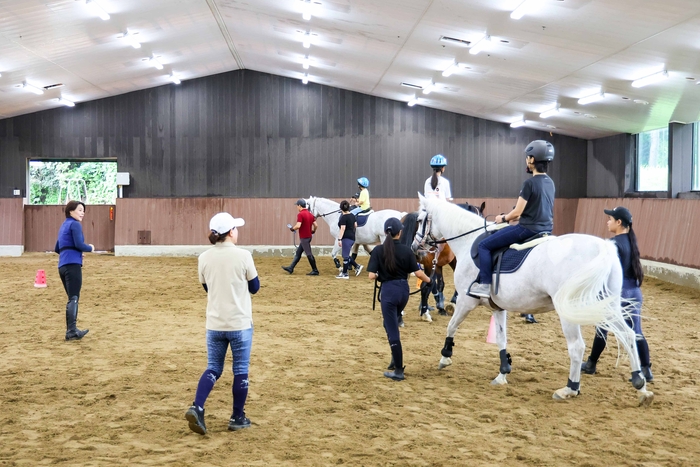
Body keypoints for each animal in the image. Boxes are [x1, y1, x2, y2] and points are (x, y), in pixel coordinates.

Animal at [412, 194, 652, 406]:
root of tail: (602, 248)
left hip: (570, 310)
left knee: (577, 347)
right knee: (628, 335)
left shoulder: (466, 301)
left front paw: (445, 356)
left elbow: (452, 326)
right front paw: (503, 373)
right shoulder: (498, 307)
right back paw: (640, 385)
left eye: (420, 220)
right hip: (607, 305)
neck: (467, 240)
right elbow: (501, 339)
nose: (415, 247)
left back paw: (570, 388)